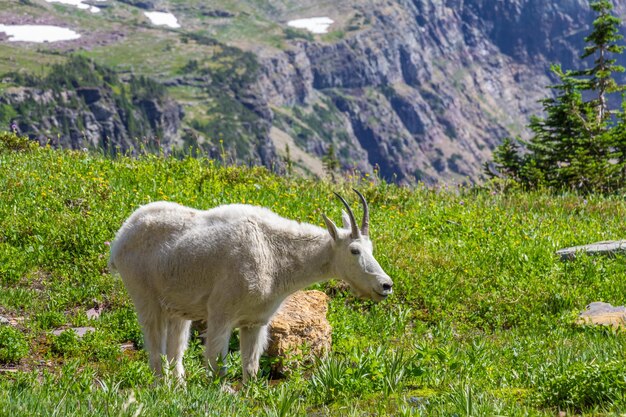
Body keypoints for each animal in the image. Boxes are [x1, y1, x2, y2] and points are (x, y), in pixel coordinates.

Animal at [107, 189, 390, 380]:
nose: (386, 285)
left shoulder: (255, 321)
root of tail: (120, 238)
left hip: (177, 307)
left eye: (371, 248)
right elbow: (216, 364)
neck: (275, 254)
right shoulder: (220, 313)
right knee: (155, 349)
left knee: (175, 350)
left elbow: (251, 367)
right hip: (144, 295)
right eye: (354, 250)